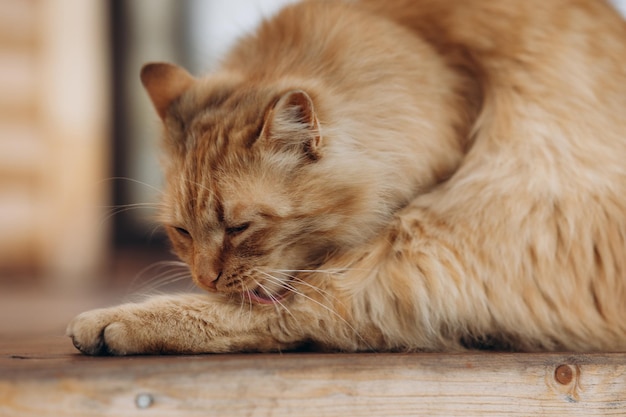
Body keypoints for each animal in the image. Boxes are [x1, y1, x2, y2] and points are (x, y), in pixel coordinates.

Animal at [68, 0, 624, 352]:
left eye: (240, 227)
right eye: (181, 232)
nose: (205, 277)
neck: (437, 60)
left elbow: (279, 305)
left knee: (302, 310)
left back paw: (111, 323)